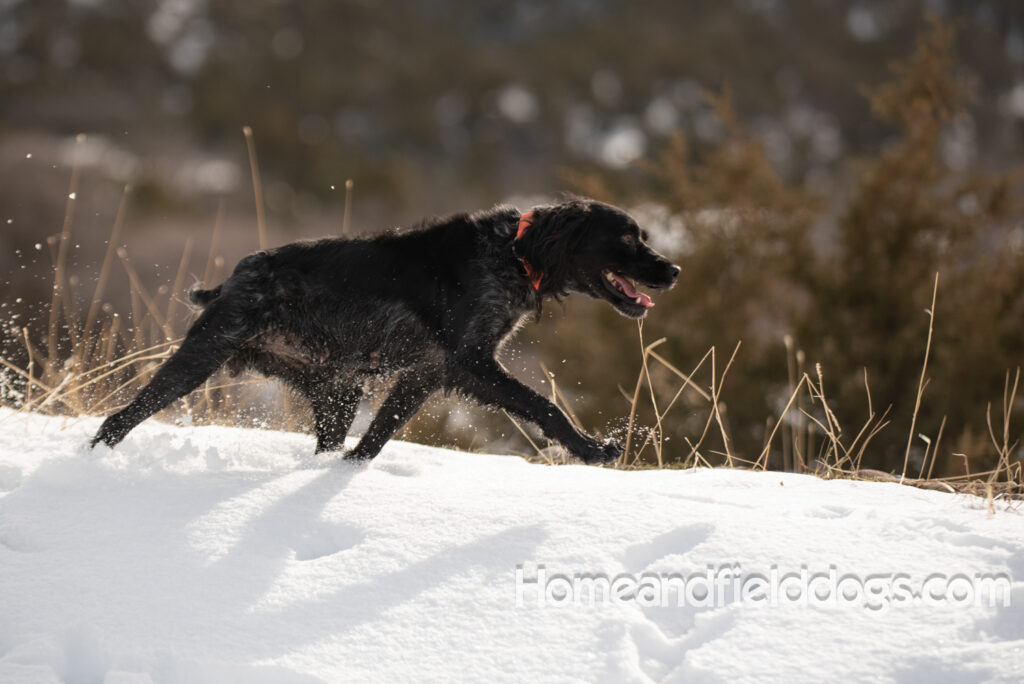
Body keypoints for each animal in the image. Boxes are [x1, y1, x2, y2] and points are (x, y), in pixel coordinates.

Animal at [90, 197, 679, 464]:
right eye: (628, 238)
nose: (673, 269)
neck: (513, 254)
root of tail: (234, 278)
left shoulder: (424, 375)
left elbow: (372, 442)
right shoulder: (469, 362)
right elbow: (544, 405)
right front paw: (592, 449)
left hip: (338, 392)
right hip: (200, 357)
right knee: (119, 419)